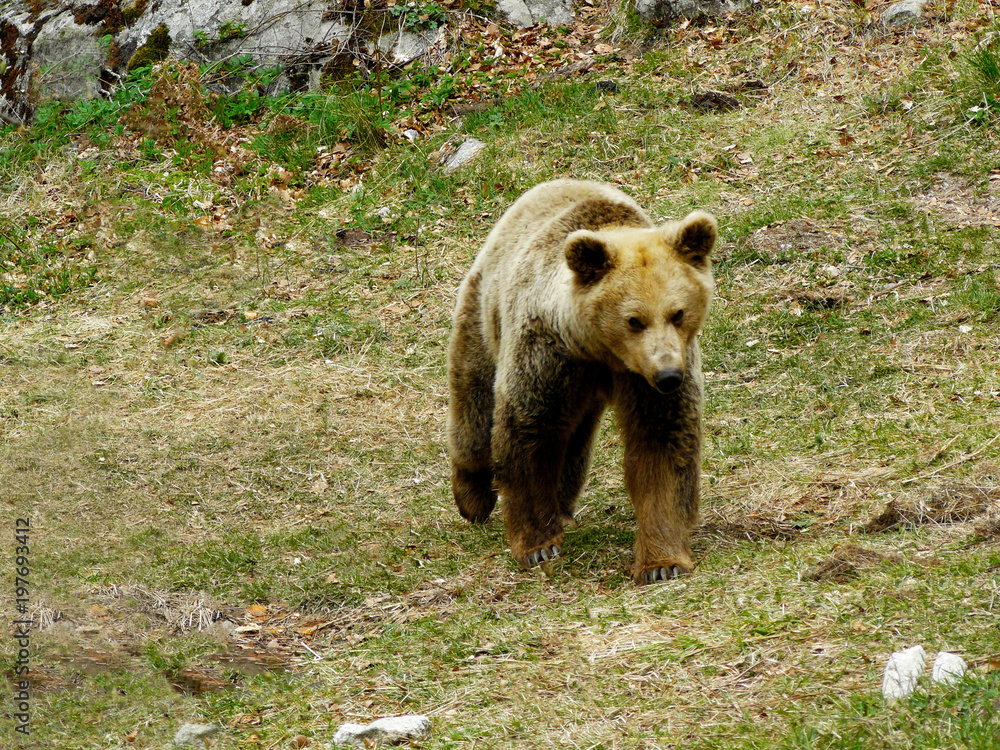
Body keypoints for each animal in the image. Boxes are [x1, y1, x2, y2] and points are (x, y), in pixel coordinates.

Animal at [447, 179, 717, 584]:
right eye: (634, 320)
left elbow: (661, 448)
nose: (668, 375)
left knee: (573, 441)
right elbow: (529, 435)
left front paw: (662, 563)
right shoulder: (548, 356)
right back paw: (473, 497)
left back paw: (560, 504)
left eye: (678, 313)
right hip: (483, 312)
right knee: (474, 404)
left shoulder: (646, 380)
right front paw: (539, 545)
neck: (601, 351)